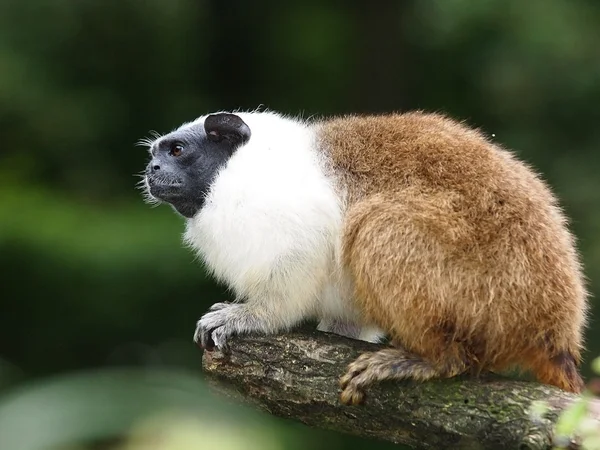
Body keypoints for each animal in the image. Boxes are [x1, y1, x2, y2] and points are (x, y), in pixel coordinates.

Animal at [143, 108, 588, 404]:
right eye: (156, 154)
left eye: (177, 151)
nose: (151, 170)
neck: (238, 171)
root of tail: (555, 331)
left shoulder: (283, 210)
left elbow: (298, 267)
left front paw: (253, 317)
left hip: (490, 289)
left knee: (379, 223)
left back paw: (432, 359)